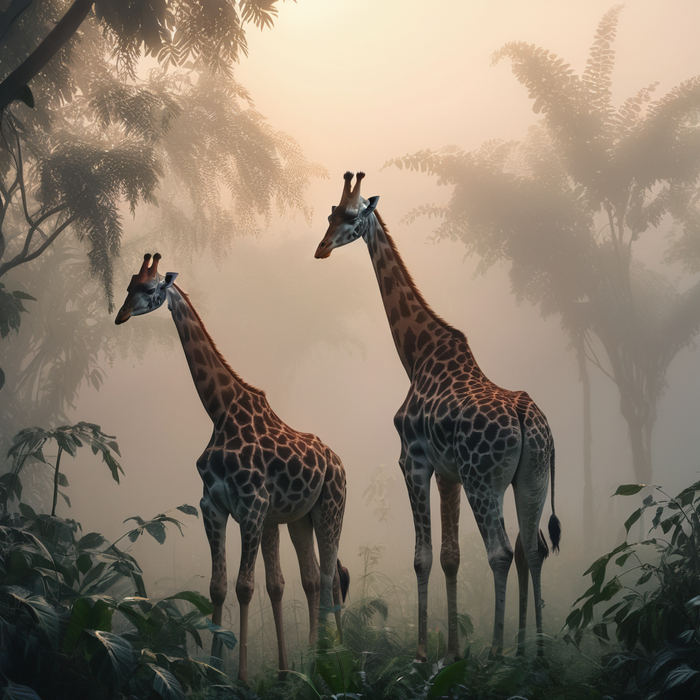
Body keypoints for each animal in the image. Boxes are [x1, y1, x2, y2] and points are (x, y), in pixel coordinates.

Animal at [115, 253, 348, 683]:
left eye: (151, 288)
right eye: (128, 286)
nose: (120, 315)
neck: (220, 411)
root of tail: (339, 463)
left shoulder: (252, 507)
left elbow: (244, 587)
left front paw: (239, 677)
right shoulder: (213, 505)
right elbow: (219, 587)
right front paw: (213, 671)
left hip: (331, 508)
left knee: (330, 577)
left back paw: (338, 661)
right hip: (299, 518)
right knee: (312, 578)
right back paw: (312, 660)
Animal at [315, 173, 561, 662]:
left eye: (351, 217)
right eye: (330, 213)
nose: (322, 248)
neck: (417, 354)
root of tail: (527, 418)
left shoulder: (412, 461)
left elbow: (422, 557)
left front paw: (423, 654)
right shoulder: (449, 473)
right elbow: (450, 556)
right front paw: (452, 650)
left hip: (485, 479)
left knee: (502, 552)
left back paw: (497, 653)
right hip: (532, 478)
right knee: (534, 548)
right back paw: (536, 653)